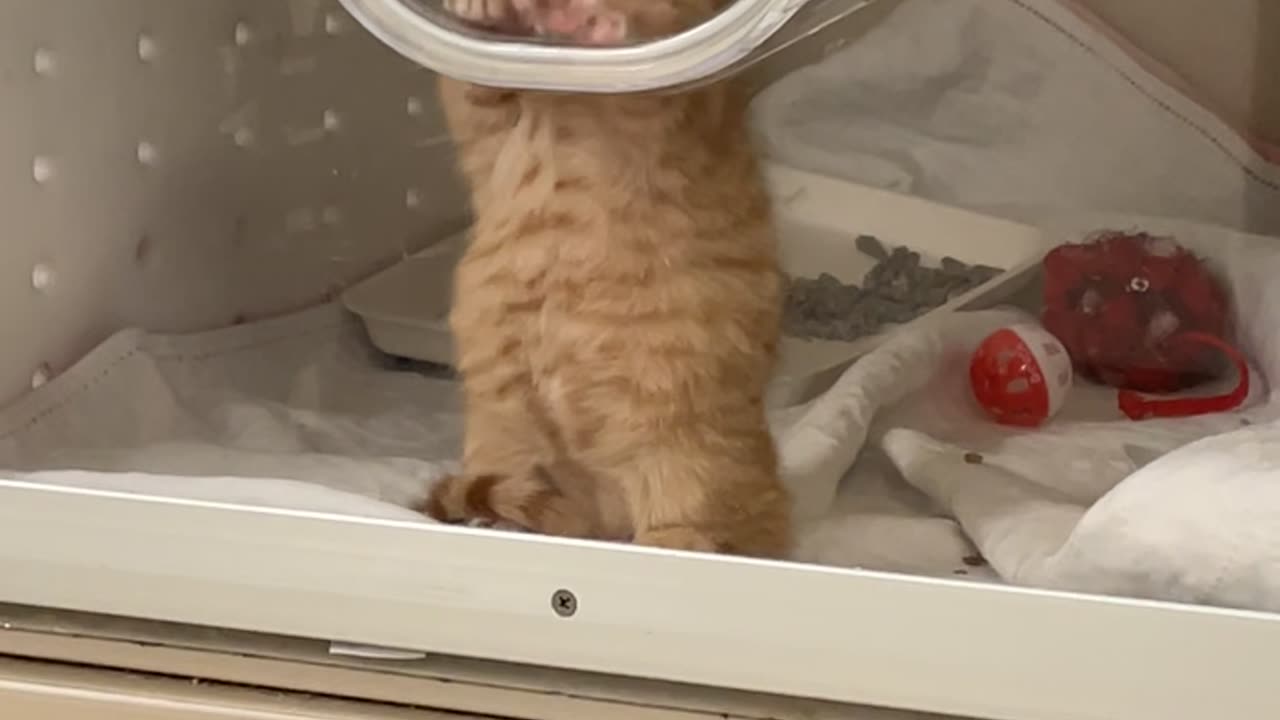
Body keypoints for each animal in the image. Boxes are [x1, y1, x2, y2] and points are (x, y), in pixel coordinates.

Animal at [424, 0, 788, 556]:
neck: (556, 103)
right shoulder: (484, 107)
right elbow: (475, 83)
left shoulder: (663, 99)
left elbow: (644, 29)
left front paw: (586, 20)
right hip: (505, 443)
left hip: (690, 471)